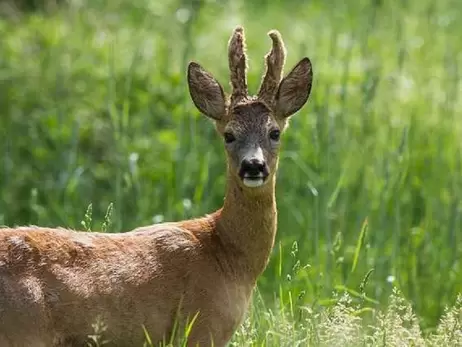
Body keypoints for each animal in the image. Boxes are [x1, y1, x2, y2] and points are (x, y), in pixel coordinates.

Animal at [0, 25, 314, 346]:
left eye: (274, 132)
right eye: (229, 135)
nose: (253, 166)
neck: (228, 256)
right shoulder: (201, 327)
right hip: (23, 329)